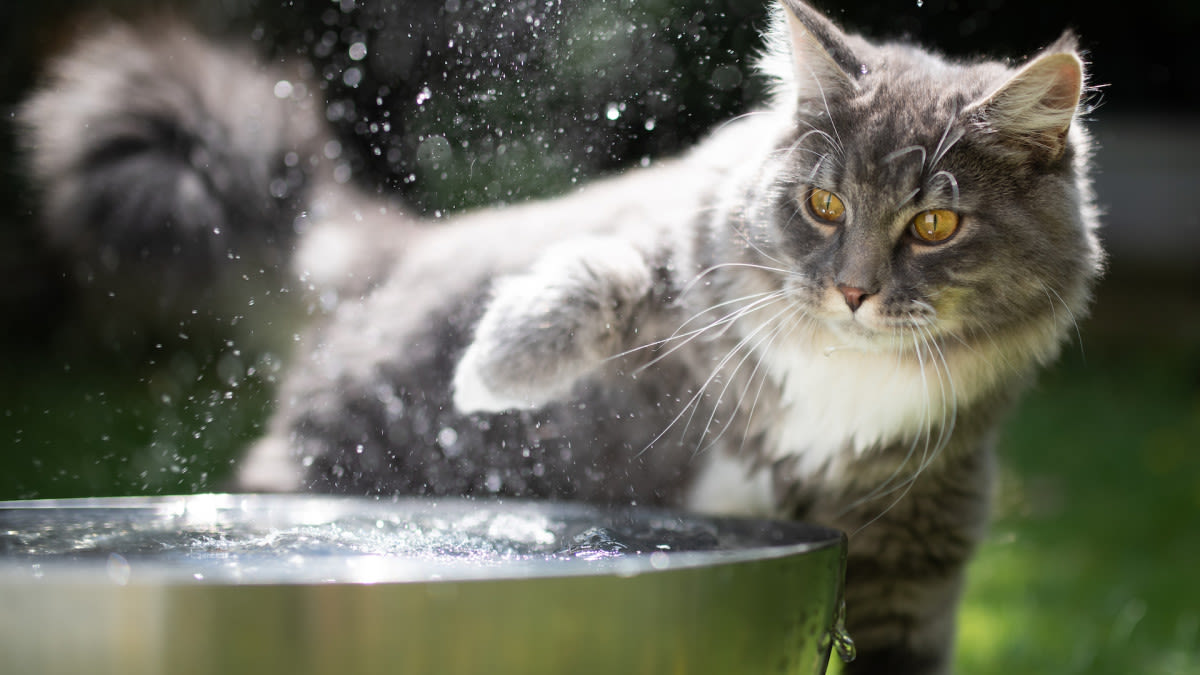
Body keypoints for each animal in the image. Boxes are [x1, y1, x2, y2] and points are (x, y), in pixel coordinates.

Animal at [21, 2, 1104, 667]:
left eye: (935, 224)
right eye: (825, 204)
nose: (851, 292)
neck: (844, 370)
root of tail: (396, 255)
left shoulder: (910, 549)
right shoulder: (678, 244)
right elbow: (606, 274)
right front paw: (496, 369)